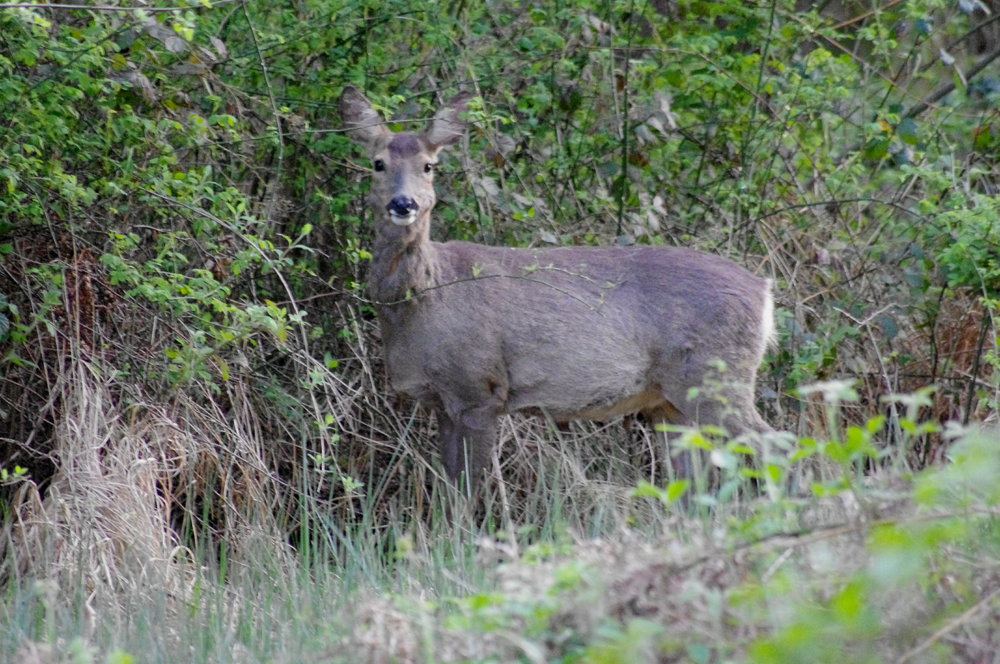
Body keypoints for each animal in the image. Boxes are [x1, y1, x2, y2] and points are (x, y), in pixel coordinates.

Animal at [339, 85, 775, 496]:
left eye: (429, 166)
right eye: (378, 163)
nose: (404, 203)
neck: (426, 295)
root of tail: (764, 291)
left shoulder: (479, 388)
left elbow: (467, 490)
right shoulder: (443, 403)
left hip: (715, 374)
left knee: (773, 445)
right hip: (670, 401)